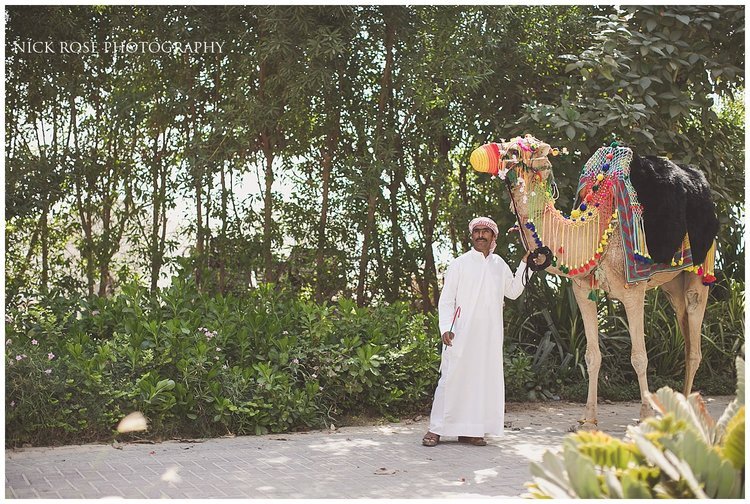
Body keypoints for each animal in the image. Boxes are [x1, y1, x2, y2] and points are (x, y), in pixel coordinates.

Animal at [470, 136, 724, 428]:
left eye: (514, 150)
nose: (480, 155)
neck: (593, 231)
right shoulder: (582, 290)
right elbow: (592, 356)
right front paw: (588, 418)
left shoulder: (633, 291)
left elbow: (639, 356)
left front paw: (645, 415)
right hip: (672, 284)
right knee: (686, 335)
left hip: (700, 272)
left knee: (694, 345)